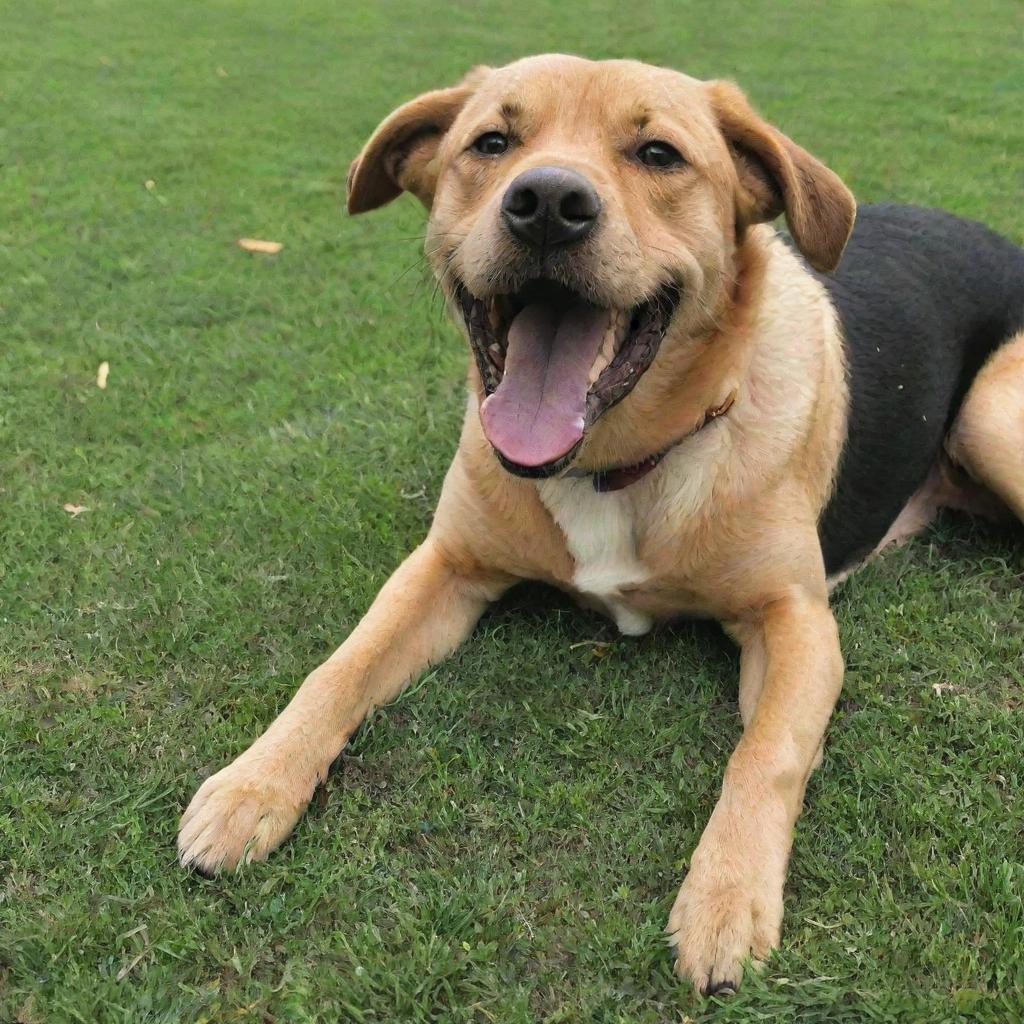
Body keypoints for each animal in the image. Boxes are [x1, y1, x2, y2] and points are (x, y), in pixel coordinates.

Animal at [178, 54, 1024, 991]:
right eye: (492, 143)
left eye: (659, 154)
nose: (547, 203)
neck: (609, 465)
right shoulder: (445, 564)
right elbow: (339, 668)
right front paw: (253, 786)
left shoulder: (797, 621)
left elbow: (764, 754)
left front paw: (725, 899)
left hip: (994, 418)